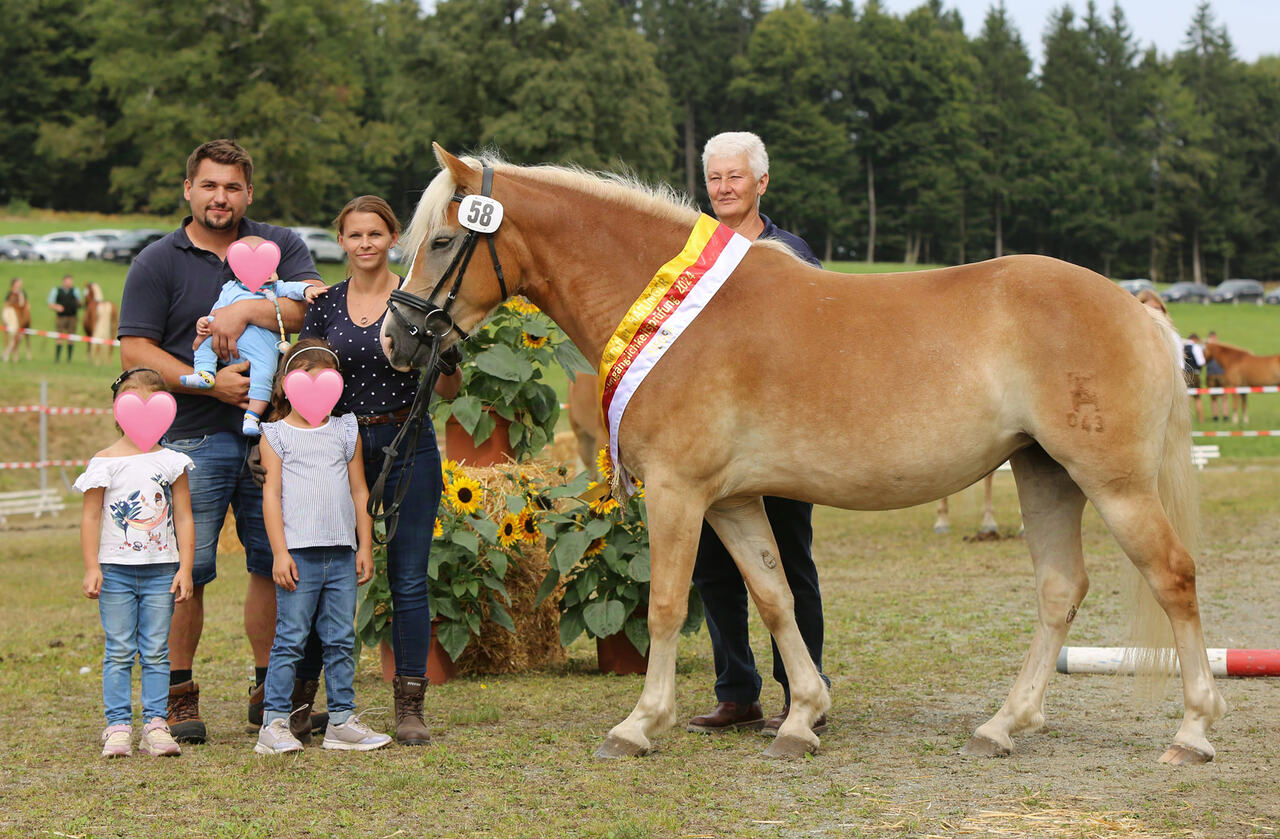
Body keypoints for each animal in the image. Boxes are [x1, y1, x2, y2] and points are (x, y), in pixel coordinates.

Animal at [384, 146, 1223, 768]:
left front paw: (641, 722)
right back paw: (1004, 723)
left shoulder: (680, 492)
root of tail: (1133, 306)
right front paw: (802, 717)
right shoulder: (730, 500)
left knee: (1174, 576)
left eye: (444, 241)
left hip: (1112, 483)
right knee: (1058, 590)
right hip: (1045, 473)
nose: (397, 339)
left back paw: (1192, 730)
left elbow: (664, 604)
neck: (676, 312)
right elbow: (774, 594)